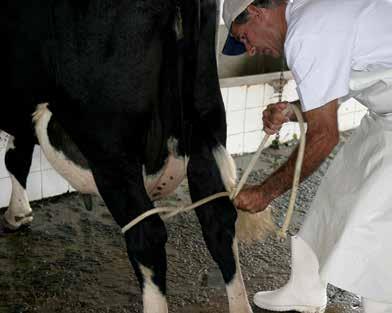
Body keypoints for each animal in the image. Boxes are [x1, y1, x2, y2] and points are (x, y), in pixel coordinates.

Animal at [0, 0, 254, 312]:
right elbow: (17, 157)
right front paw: (18, 213)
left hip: (110, 147)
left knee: (148, 236)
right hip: (206, 115)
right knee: (218, 219)